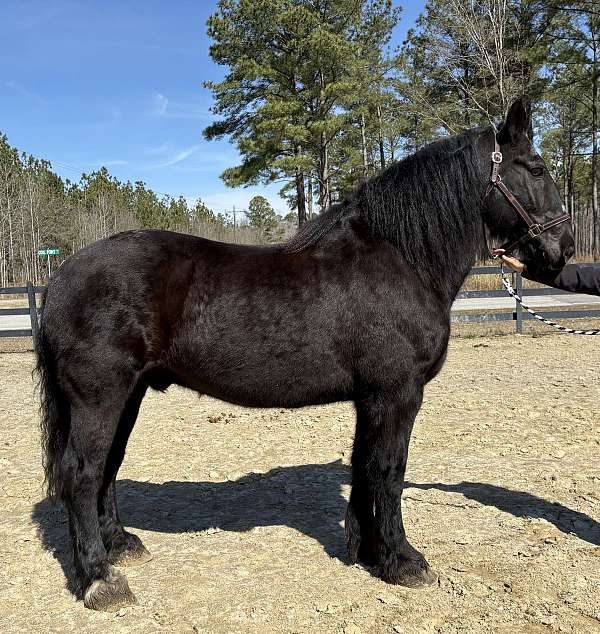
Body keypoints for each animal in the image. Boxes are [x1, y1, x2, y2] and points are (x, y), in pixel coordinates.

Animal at [36, 97, 572, 608]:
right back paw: (99, 579)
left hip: (129, 394)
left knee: (108, 465)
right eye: (537, 168)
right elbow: (389, 471)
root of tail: (63, 274)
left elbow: (364, 466)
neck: (401, 259)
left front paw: (366, 551)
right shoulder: (397, 393)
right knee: (82, 472)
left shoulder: (370, 397)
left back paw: (120, 546)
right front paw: (402, 560)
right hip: (100, 396)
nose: (563, 248)